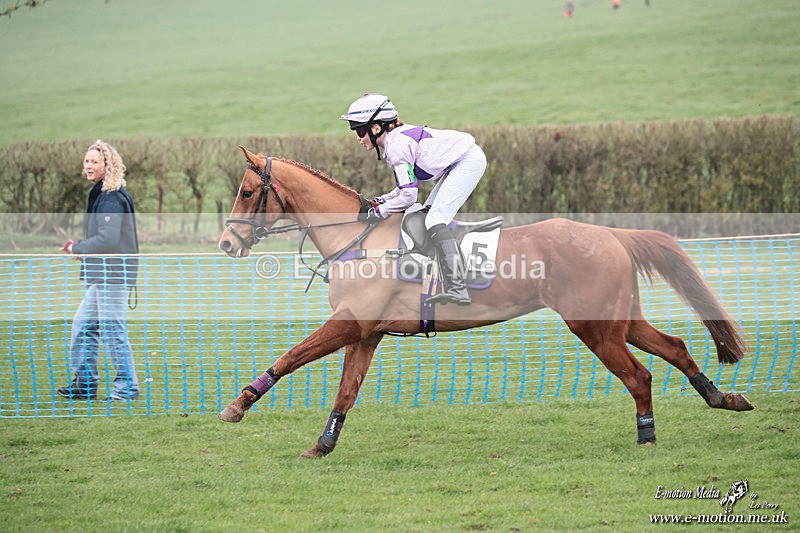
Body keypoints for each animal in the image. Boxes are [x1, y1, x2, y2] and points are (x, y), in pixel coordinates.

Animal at [217, 146, 754, 459]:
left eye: (246, 191)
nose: (226, 243)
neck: (358, 238)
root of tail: (610, 235)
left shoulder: (350, 323)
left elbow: (291, 357)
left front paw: (239, 404)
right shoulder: (366, 333)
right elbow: (345, 392)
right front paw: (323, 445)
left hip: (595, 327)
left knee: (639, 376)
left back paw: (647, 435)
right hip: (620, 320)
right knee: (676, 346)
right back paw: (721, 397)